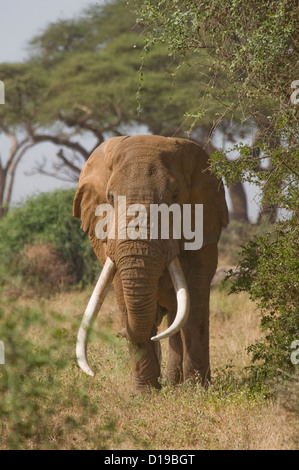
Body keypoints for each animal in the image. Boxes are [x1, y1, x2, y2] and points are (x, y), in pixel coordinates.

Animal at [74, 134, 229, 392]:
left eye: (175, 196)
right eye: (110, 198)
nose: (120, 333)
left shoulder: (204, 222)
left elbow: (195, 297)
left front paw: (198, 391)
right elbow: (121, 289)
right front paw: (146, 394)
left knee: (177, 315)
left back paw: (176, 384)